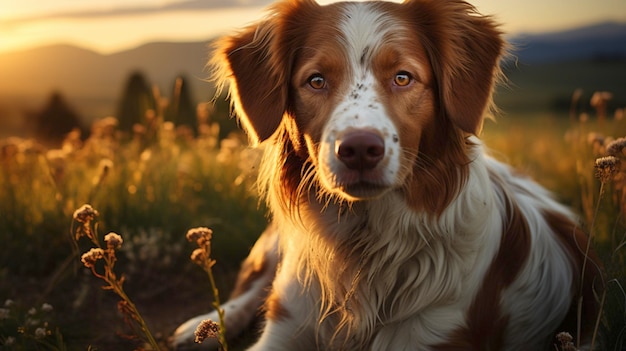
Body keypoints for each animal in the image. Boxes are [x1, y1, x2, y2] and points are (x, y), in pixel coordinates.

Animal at [171, 0, 600, 350]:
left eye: (403, 77)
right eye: (316, 80)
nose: (360, 149)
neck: (364, 247)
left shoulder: (436, 331)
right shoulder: (287, 326)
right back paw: (203, 327)